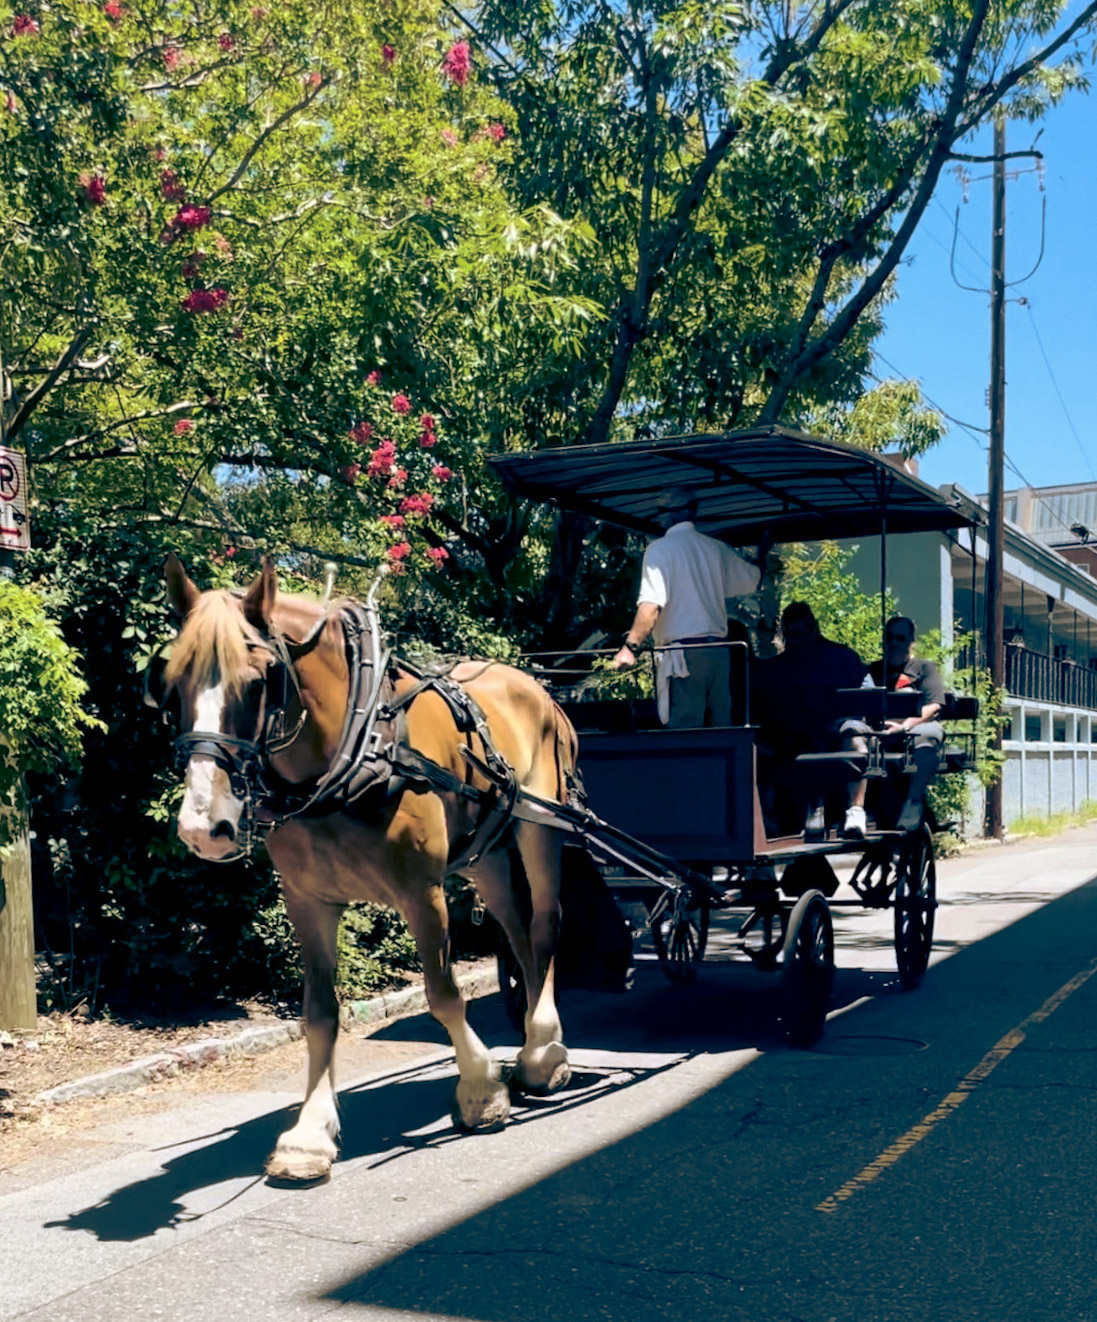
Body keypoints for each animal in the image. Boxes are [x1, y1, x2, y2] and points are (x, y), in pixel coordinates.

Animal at [163, 552, 578, 1184]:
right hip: (485, 854)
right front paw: (309, 1134)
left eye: (260, 680)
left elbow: (442, 994)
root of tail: (532, 683)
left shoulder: (420, 891)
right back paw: (533, 1044)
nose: (202, 827)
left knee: (545, 924)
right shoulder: (307, 901)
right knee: (517, 934)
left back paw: (543, 1051)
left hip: (540, 826)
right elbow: (319, 1013)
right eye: (170, 682)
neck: (355, 749)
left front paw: (480, 1090)